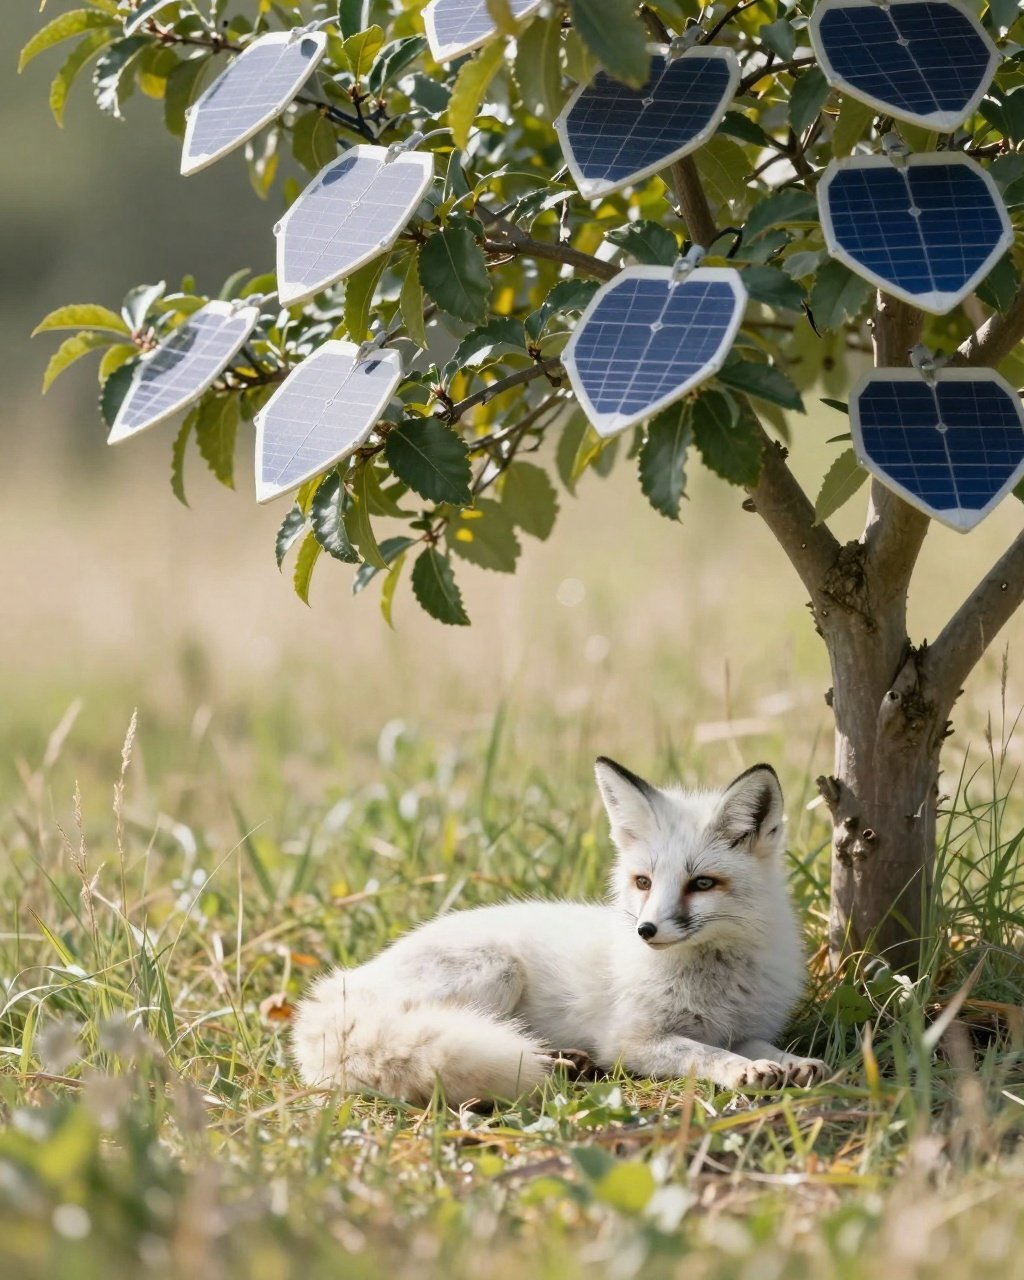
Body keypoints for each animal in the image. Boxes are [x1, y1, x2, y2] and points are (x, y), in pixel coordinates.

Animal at [291, 758, 827, 1105]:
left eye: (702, 884)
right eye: (643, 882)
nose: (646, 930)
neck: (715, 982)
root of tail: (344, 984)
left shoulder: (746, 1028)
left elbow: (763, 1048)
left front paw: (791, 1063)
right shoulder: (633, 1040)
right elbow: (705, 1054)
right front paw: (741, 1071)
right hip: (495, 972)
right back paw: (554, 1064)